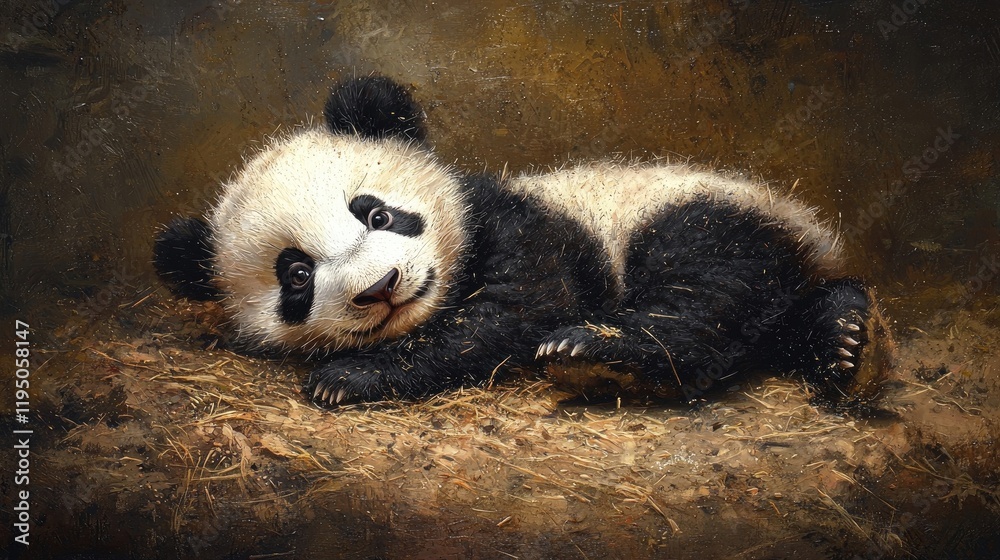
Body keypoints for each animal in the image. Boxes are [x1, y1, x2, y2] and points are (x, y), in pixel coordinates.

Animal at [154, 75, 893, 409]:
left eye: (377, 214)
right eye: (297, 276)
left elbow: (512, 310)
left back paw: (599, 354)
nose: (381, 289)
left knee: (704, 292)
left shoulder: (524, 224)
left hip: (697, 213)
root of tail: (811, 235)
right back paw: (844, 341)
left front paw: (348, 377)